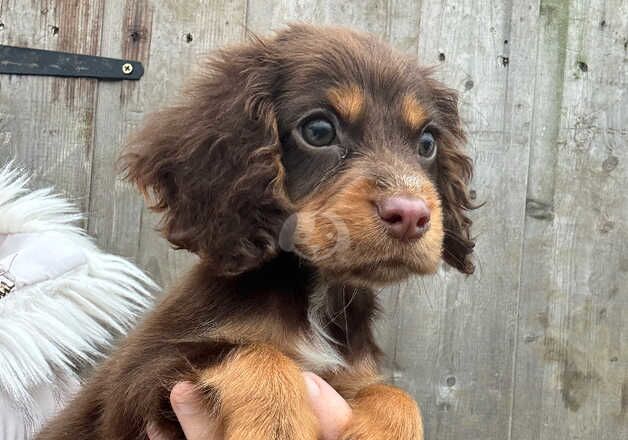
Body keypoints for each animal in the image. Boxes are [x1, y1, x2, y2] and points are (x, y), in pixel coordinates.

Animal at [36, 24, 474, 440]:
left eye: (427, 142)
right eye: (318, 130)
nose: (412, 215)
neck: (315, 294)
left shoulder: (351, 377)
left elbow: (396, 395)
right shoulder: (138, 378)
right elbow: (253, 351)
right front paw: (277, 425)